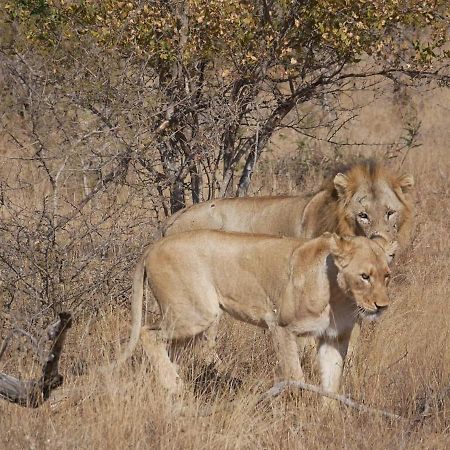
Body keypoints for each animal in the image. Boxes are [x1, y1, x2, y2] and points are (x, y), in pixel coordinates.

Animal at [119, 230, 394, 400]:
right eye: (364, 276)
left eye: (387, 276)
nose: (382, 306)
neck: (339, 297)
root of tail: (154, 246)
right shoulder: (281, 326)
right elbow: (295, 376)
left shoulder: (333, 338)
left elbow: (332, 382)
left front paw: (328, 419)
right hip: (195, 314)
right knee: (147, 333)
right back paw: (173, 384)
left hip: (189, 321)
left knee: (168, 349)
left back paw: (173, 389)